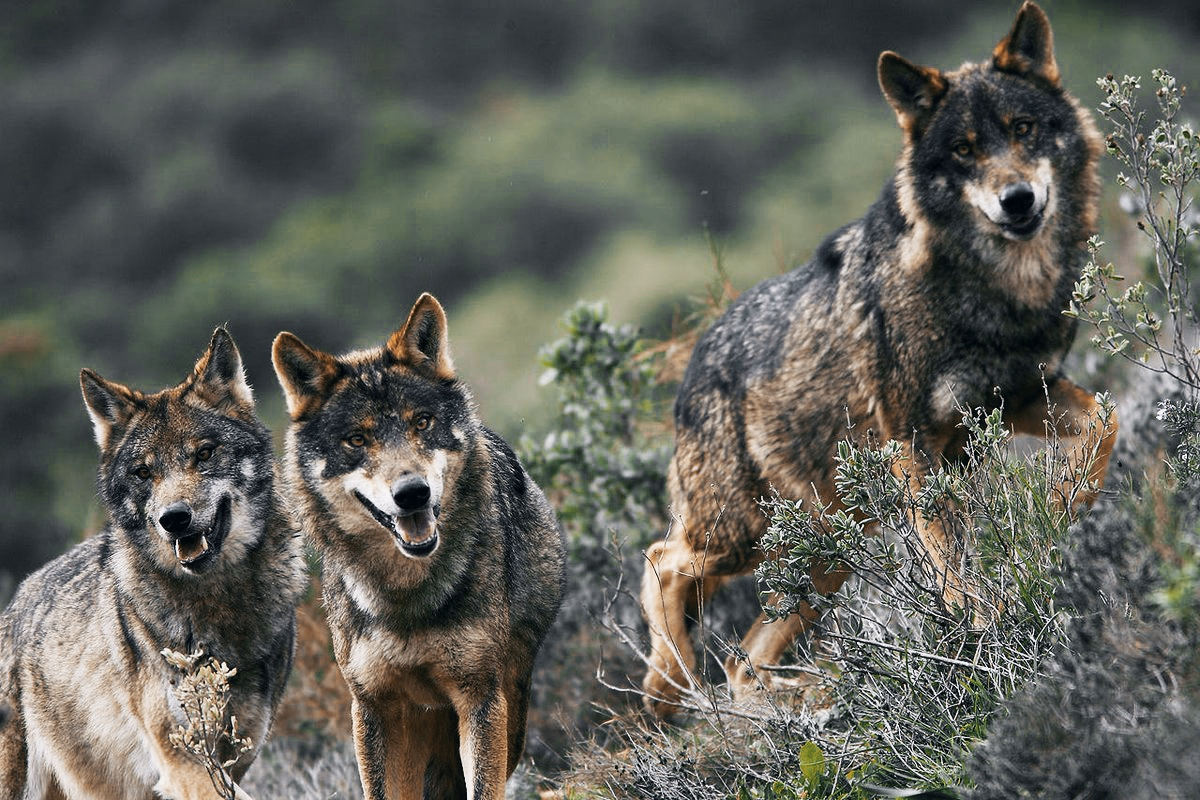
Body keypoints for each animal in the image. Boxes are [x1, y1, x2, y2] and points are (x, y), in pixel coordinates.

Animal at [0, 328, 304, 796]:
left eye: (204, 454)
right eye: (144, 473)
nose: (173, 518)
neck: (217, 603)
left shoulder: (235, 756)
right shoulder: (183, 760)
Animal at [272, 293, 566, 800]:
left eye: (422, 423)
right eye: (357, 439)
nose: (412, 493)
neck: (405, 597)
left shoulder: (479, 697)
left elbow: (482, 788)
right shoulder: (373, 707)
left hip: (509, 706)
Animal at [643, 0, 1118, 714]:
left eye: (1023, 129)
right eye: (964, 150)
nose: (1017, 200)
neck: (992, 294)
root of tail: (690, 364)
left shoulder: (1021, 395)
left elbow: (1104, 427)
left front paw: (1059, 512)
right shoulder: (913, 443)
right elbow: (953, 567)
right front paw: (984, 631)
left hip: (831, 546)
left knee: (742, 659)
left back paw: (780, 704)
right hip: (748, 533)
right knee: (662, 563)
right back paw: (669, 688)